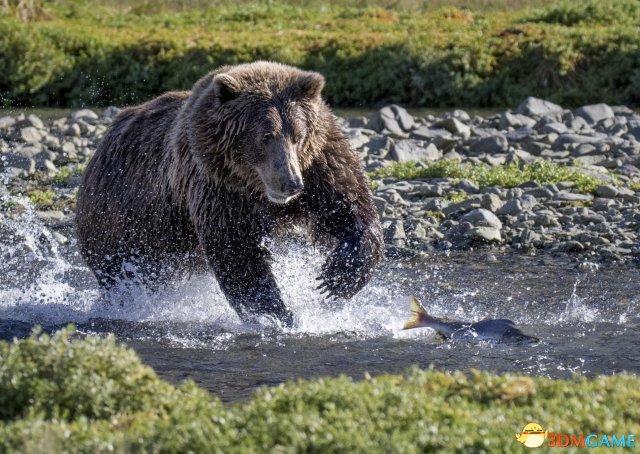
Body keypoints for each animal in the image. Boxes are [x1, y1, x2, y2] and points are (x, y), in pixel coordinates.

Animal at [76, 61, 384, 326]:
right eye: (266, 135)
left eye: (298, 134)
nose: (291, 183)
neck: (256, 186)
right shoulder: (218, 187)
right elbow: (237, 251)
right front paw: (279, 315)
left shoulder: (321, 163)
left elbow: (350, 208)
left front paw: (335, 279)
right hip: (123, 224)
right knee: (126, 274)